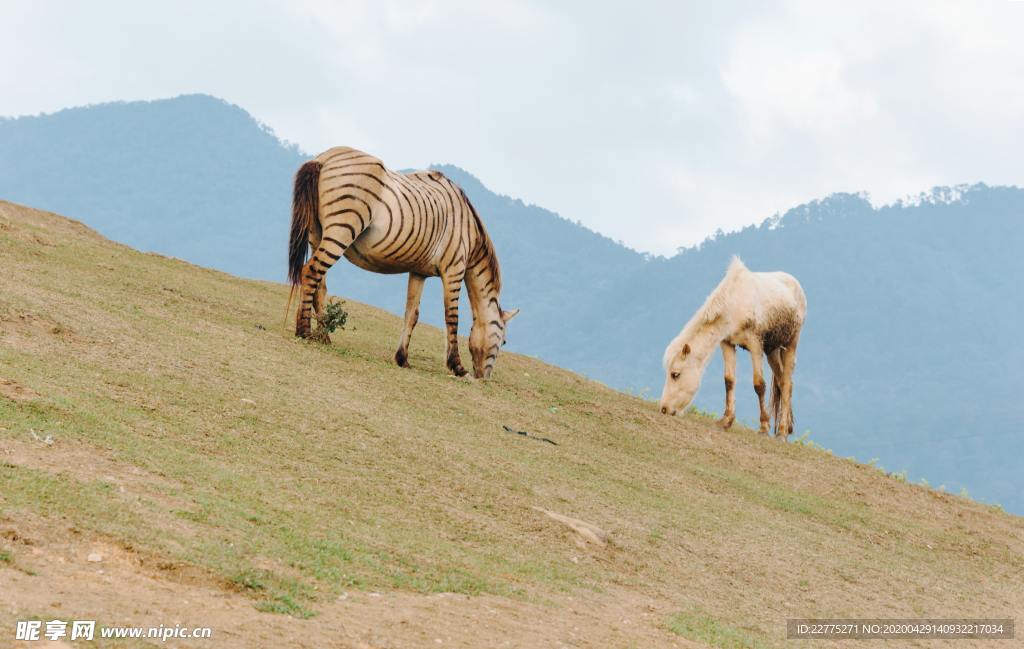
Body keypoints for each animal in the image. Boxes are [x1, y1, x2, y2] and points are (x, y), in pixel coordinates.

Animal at [286, 145, 512, 378]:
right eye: (503, 342)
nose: (484, 379)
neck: (469, 233)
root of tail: (324, 158)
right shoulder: (454, 270)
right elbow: (452, 318)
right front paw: (457, 366)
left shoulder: (419, 272)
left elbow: (412, 314)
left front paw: (402, 358)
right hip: (342, 230)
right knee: (311, 272)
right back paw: (304, 331)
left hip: (316, 234)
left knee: (319, 284)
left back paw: (323, 336)